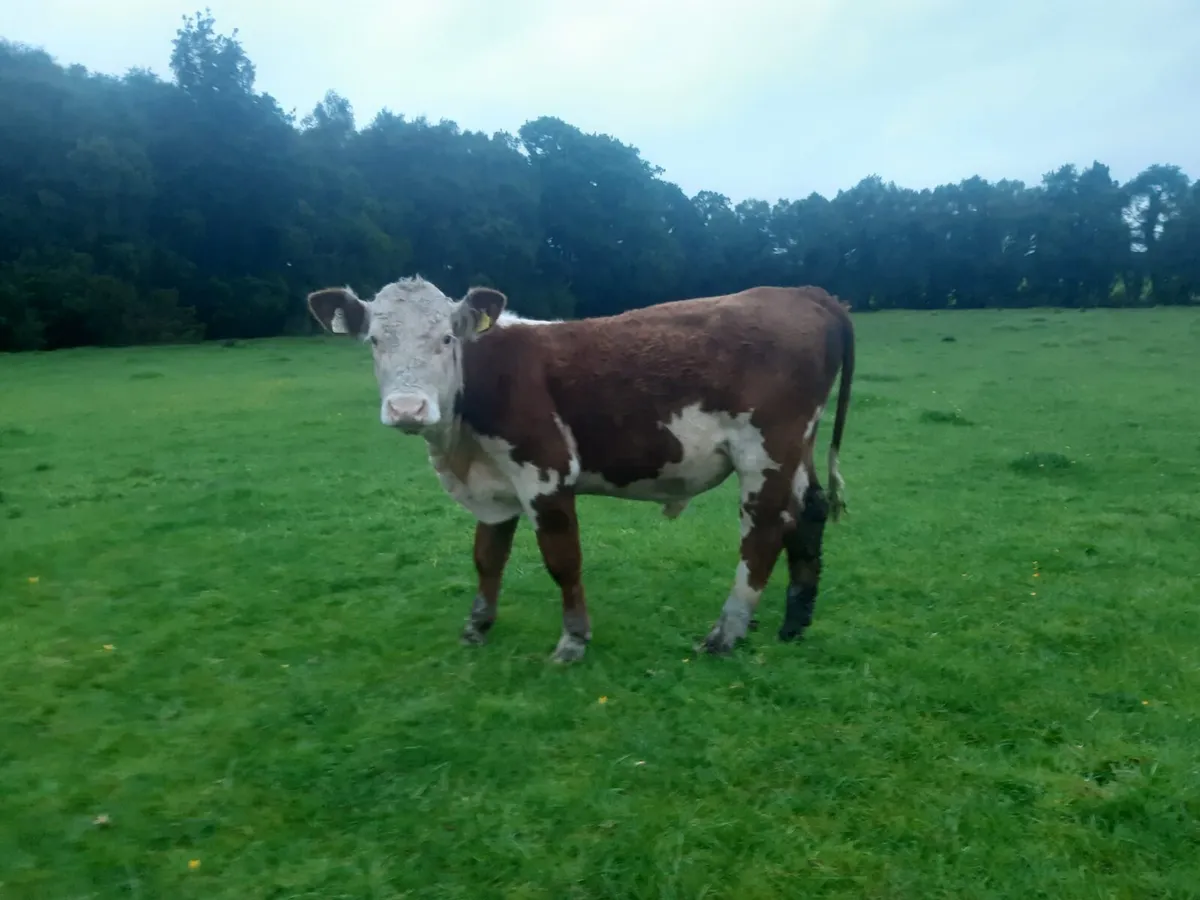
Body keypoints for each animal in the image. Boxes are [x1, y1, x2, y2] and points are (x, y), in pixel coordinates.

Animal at [306, 276, 854, 663]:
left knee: (763, 534)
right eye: (374, 341)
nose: (407, 408)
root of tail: (804, 293)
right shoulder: (494, 485)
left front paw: (573, 640)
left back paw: (726, 633)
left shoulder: (545, 472)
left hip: (766, 452)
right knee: (808, 514)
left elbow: (563, 559)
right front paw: (477, 625)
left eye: (445, 339)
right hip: (797, 449)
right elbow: (487, 558)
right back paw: (794, 623)